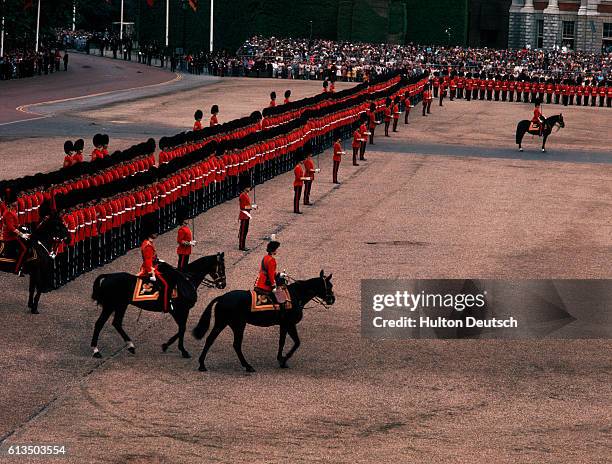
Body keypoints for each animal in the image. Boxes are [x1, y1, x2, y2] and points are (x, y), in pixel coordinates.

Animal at [89, 254, 226, 358]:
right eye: (221, 268)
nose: (223, 284)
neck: (186, 280)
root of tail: (108, 276)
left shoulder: (181, 311)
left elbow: (181, 328)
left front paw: (167, 345)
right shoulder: (179, 310)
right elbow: (182, 328)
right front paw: (182, 350)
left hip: (120, 305)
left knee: (116, 323)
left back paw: (130, 346)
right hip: (110, 305)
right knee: (100, 324)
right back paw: (96, 350)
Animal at [191, 270, 334, 372]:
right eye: (329, 286)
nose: (332, 299)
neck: (296, 296)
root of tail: (222, 297)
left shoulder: (283, 325)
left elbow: (282, 341)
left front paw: (280, 359)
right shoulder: (290, 324)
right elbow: (297, 342)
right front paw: (284, 359)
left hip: (223, 323)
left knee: (210, 339)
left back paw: (202, 364)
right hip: (238, 325)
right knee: (235, 344)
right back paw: (247, 366)